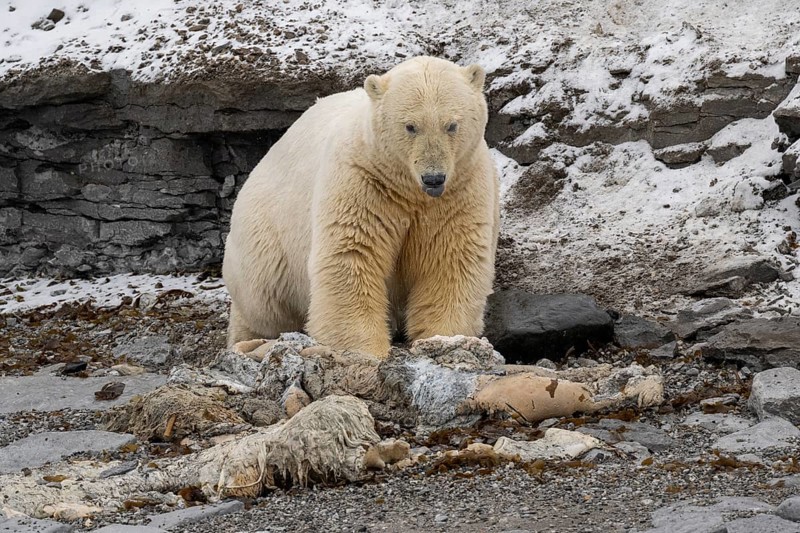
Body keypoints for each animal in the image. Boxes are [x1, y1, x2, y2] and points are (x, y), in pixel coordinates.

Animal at [222, 56, 499, 357]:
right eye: (410, 126)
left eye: (451, 125)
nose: (434, 178)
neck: (409, 189)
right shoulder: (364, 179)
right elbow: (352, 252)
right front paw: (363, 348)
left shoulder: (461, 187)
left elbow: (450, 256)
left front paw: (443, 338)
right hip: (266, 233)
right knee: (263, 299)